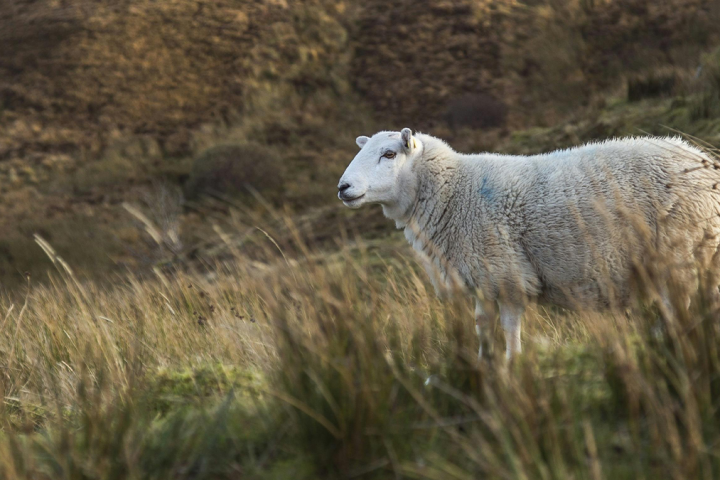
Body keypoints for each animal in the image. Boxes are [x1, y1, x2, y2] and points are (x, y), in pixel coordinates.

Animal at [337, 128, 720, 359]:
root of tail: (701, 160)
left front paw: (512, 366)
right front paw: (484, 367)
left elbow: (509, 328)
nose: (342, 187)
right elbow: (482, 326)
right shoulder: (482, 278)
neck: (453, 191)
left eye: (389, 154)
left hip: (681, 250)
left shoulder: (506, 273)